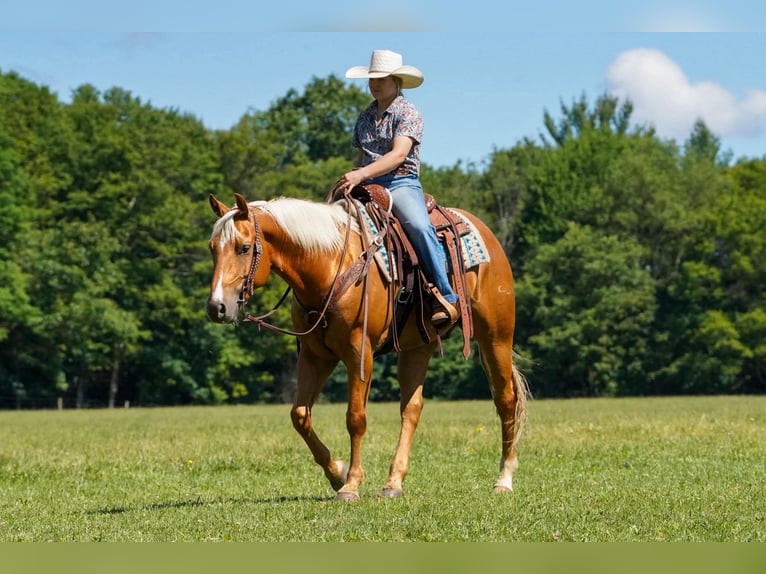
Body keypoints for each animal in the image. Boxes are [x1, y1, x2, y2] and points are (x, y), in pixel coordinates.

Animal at [206, 192, 529, 501]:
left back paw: (504, 479)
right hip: (417, 347)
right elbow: (299, 415)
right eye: (212, 248)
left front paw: (350, 485)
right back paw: (393, 483)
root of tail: (484, 232)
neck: (330, 266)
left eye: (243, 248)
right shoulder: (314, 355)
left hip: (495, 336)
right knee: (412, 408)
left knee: (506, 400)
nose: (216, 308)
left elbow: (355, 418)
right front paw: (337, 473)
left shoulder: (358, 353)